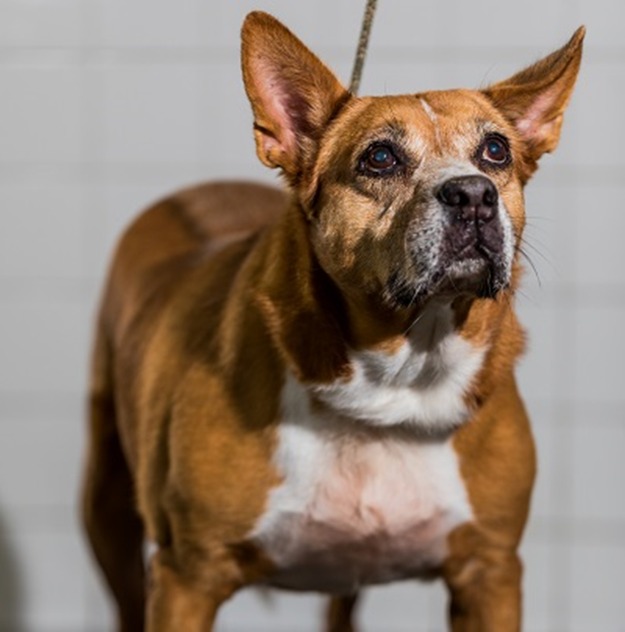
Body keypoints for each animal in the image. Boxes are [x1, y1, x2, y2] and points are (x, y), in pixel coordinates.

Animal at [80, 11, 584, 632]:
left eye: (495, 151)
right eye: (380, 158)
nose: (473, 194)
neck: (398, 380)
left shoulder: (489, 575)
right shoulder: (187, 579)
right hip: (106, 506)